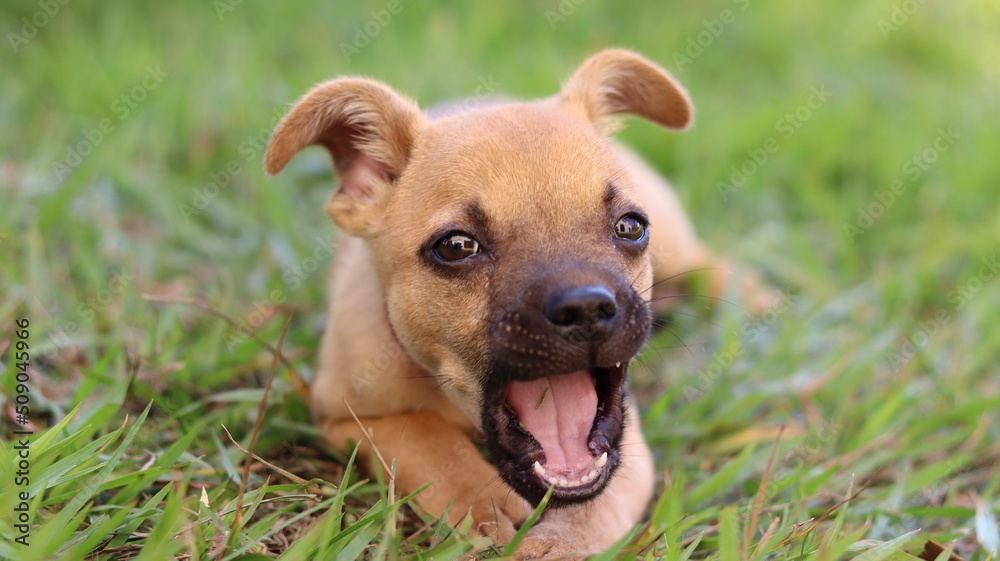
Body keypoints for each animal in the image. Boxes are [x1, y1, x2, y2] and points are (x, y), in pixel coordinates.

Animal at [266, 50, 756, 556]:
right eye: (456, 247)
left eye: (630, 226)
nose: (585, 308)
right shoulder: (347, 415)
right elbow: (426, 438)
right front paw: (484, 507)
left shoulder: (629, 446)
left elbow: (600, 506)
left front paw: (558, 542)